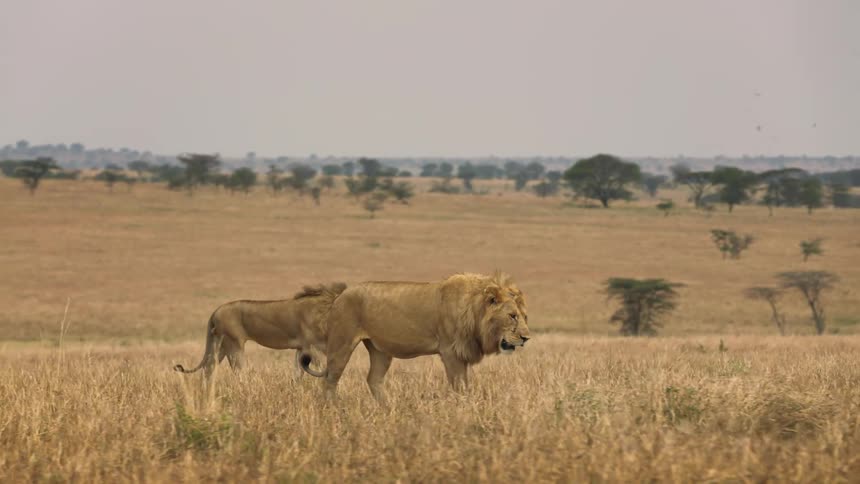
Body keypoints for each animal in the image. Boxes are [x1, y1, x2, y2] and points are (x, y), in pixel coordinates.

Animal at [173, 282, 346, 376]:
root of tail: (216, 311)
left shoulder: (301, 348)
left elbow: (298, 373)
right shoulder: (312, 347)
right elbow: (321, 369)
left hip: (219, 345)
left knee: (208, 369)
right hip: (233, 344)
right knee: (237, 372)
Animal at [304, 273, 530, 402]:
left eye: (525, 316)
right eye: (512, 316)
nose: (526, 338)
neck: (475, 311)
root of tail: (340, 294)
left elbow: (464, 384)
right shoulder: (451, 352)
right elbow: (459, 385)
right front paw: (463, 407)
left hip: (380, 350)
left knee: (373, 379)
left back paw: (387, 409)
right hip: (341, 343)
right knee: (330, 379)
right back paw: (332, 410)